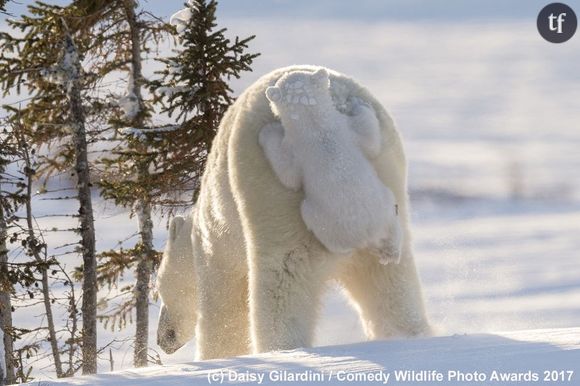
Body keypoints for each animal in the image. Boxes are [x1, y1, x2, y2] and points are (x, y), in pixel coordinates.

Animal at [156, 65, 428, 358]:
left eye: (157, 289)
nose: (162, 339)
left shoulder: (216, 245)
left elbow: (224, 309)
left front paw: (217, 356)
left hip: (271, 197)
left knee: (282, 282)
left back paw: (281, 349)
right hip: (387, 177)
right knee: (391, 283)